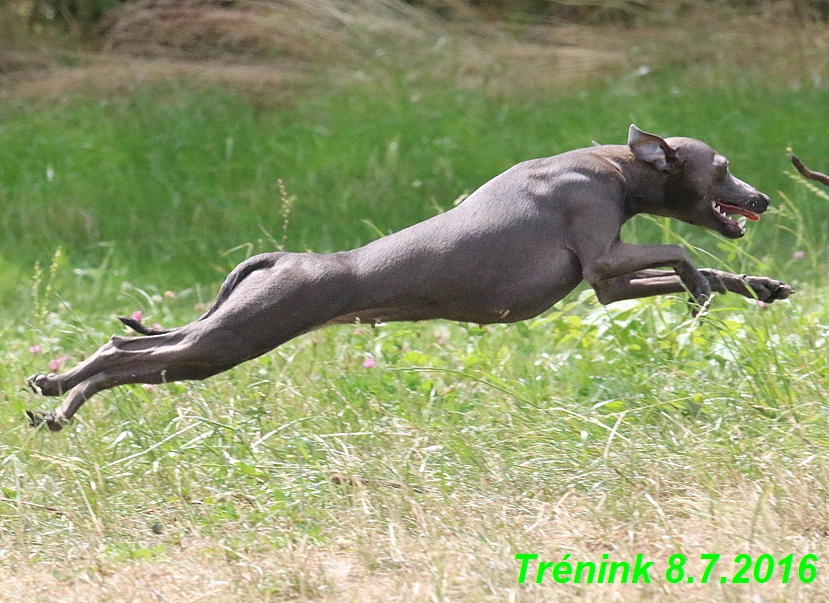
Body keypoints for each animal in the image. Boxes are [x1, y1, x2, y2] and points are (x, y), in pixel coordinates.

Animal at [25, 125, 788, 432]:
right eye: (721, 168)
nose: (761, 198)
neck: (611, 167)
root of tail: (279, 260)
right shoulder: (603, 261)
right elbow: (683, 254)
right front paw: (702, 288)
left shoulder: (604, 286)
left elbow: (707, 268)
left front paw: (760, 287)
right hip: (225, 342)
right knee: (126, 355)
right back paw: (60, 399)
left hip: (215, 335)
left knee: (125, 349)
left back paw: (54, 395)